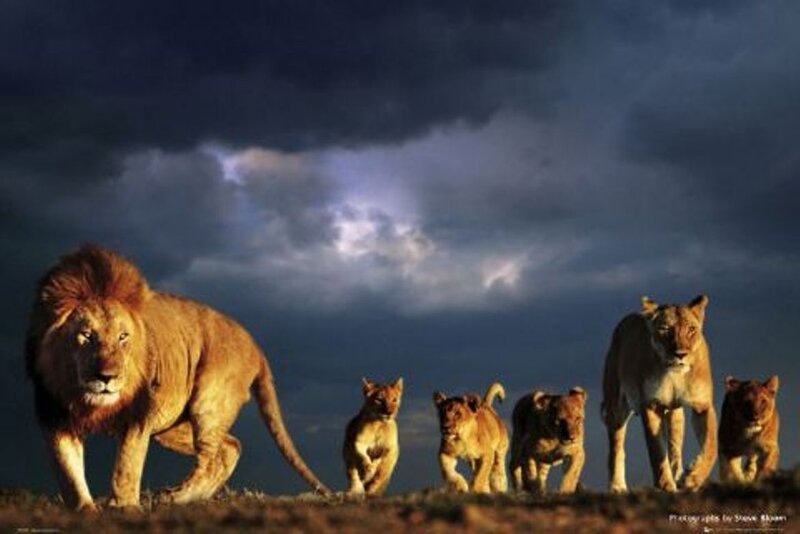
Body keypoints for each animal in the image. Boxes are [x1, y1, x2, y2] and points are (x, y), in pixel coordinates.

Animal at [25, 244, 330, 511]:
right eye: (86, 335)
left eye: (123, 337)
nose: (107, 377)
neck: (88, 401)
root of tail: (255, 345)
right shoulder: (55, 415)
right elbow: (68, 473)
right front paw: (86, 511)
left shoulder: (137, 417)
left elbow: (126, 467)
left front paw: (123, 507)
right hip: (169, 425)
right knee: (230, 447)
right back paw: (189, 497)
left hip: (208, 403)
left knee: (209, 456)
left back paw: (174, 497)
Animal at [601, 295, 717, 493]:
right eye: (665, 329)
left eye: (691, 329)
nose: (680, 354)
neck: (674, 374)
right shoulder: (651, 405)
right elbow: (656, 451)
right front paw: (665, 485)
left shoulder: (702, 405)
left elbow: (711, 445)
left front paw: (693, 478)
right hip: (616, 407)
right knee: (616, 447)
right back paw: (617, 486)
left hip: (675, 414)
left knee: (675, 448)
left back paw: (678, 474)